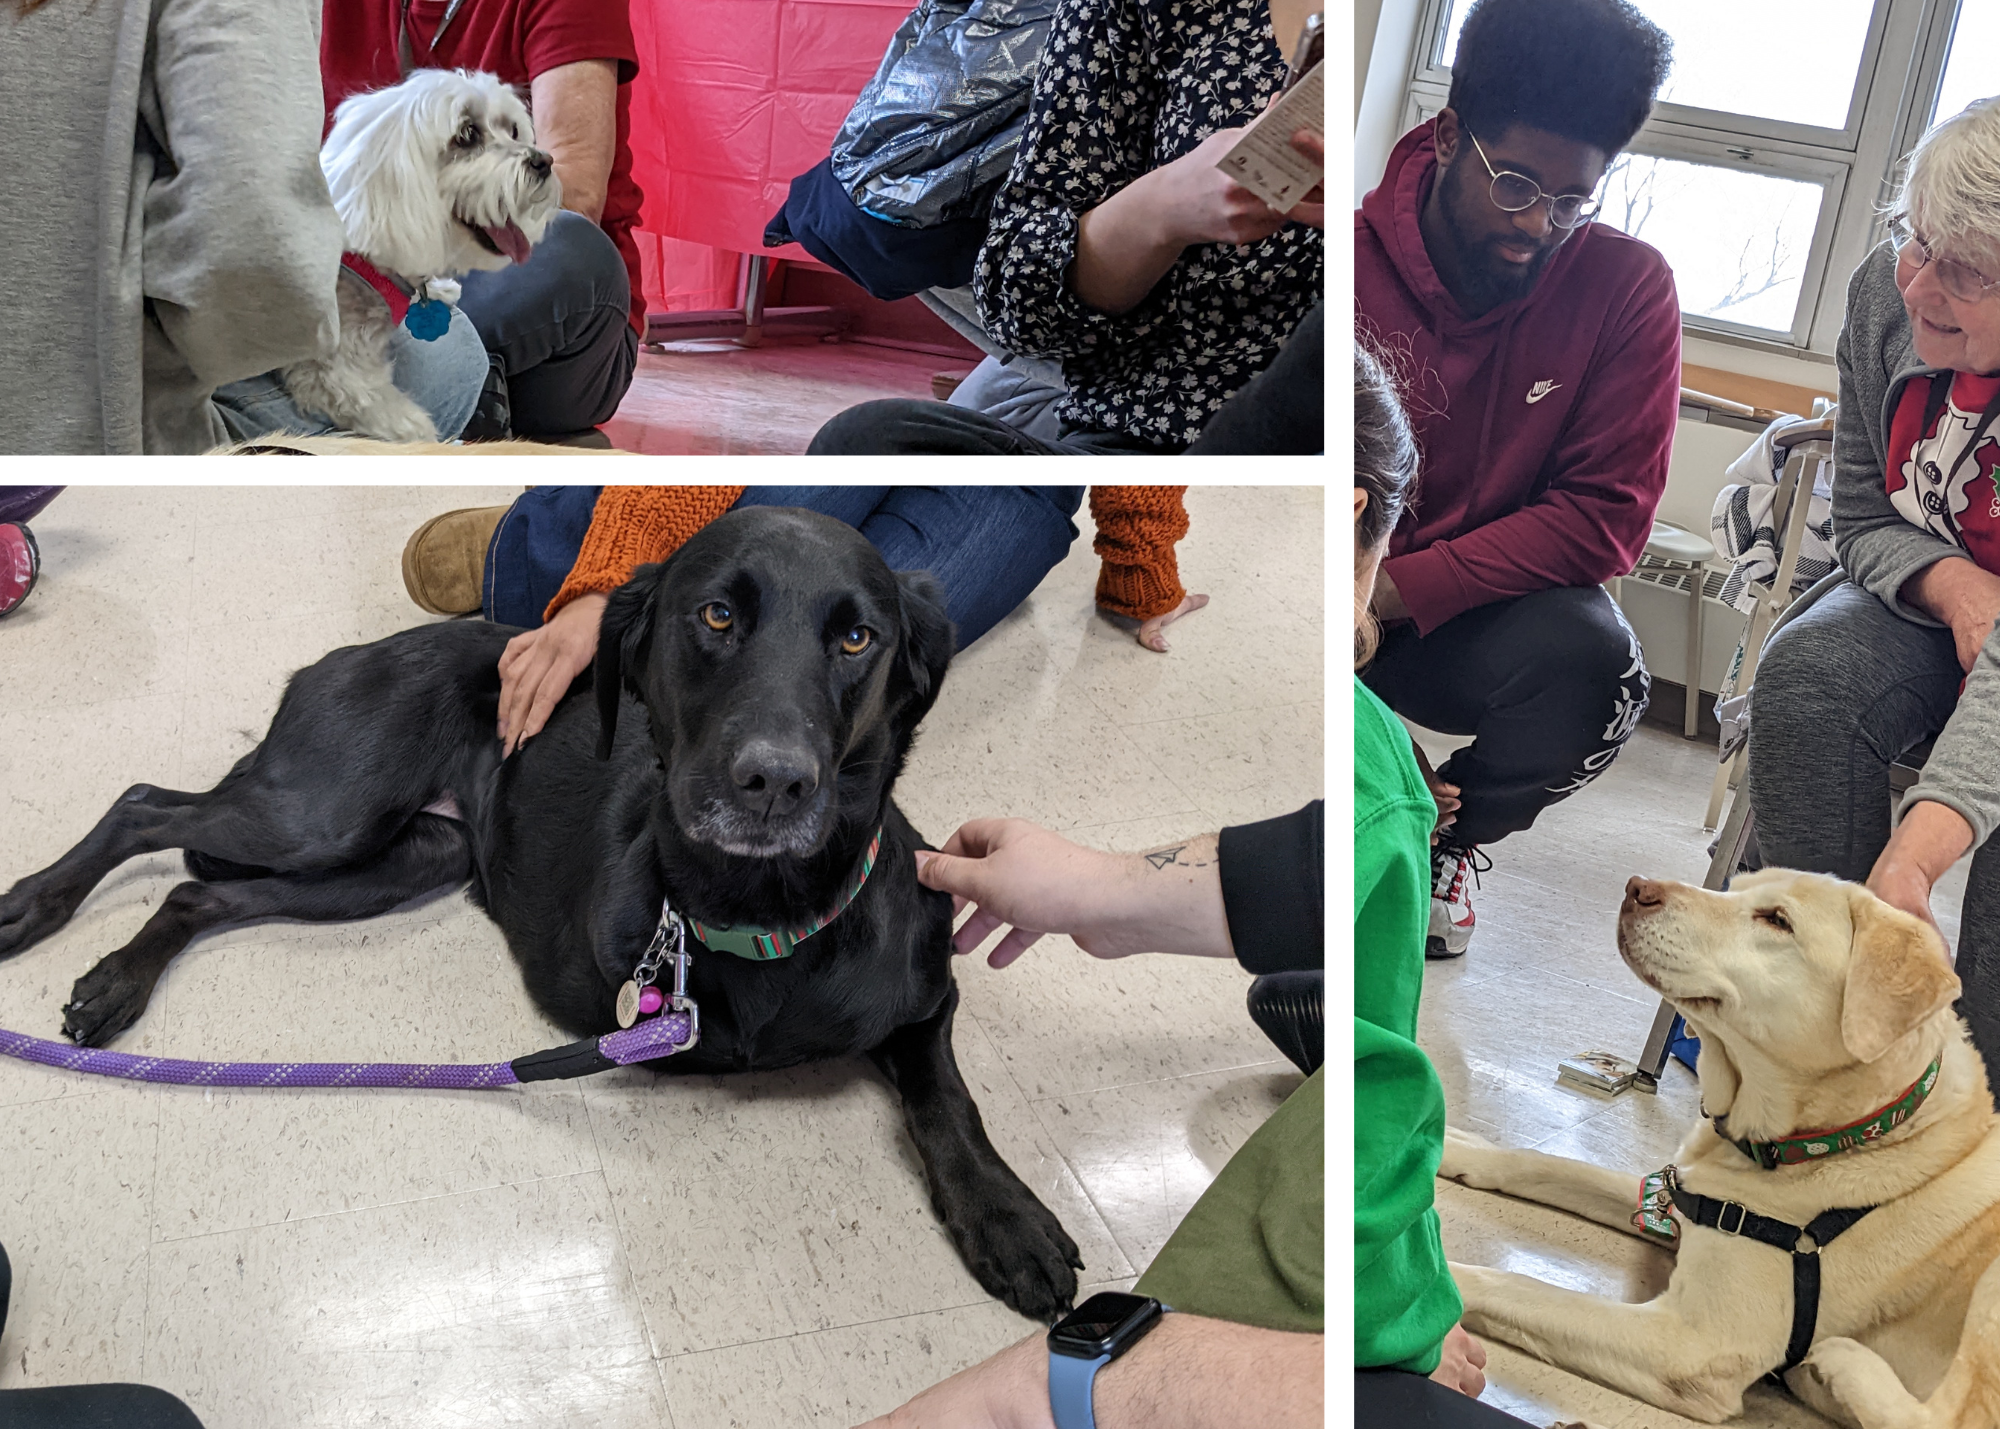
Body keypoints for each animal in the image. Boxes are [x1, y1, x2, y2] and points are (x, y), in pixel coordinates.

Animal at [282, 67, 564, 442]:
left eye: (514, 129)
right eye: (467, 134)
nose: (543, 160)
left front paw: (440, 289)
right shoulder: (329, 369)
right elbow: (376, 404)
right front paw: (425, 433)